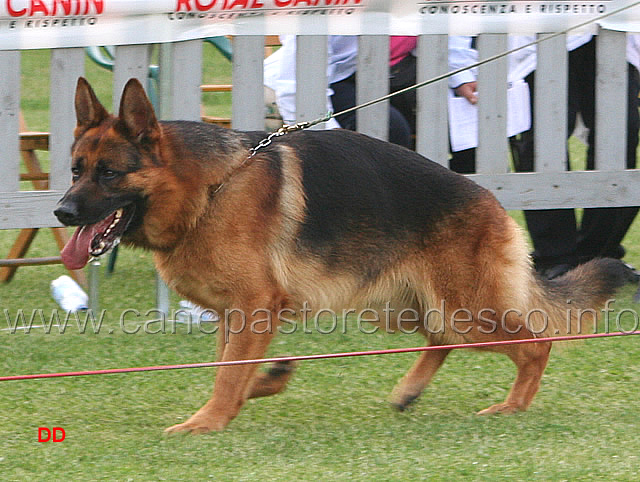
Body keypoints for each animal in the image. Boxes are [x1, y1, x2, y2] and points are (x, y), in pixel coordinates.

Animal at [56, 78, 636, 434]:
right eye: (76, 170)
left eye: (109, 173)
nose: (62, 212)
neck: (210, 187)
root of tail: (491, 202)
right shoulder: (235, 314)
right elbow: (231, 369)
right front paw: (256, 389)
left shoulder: (254, 306)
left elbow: (228, 373)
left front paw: (207, 422)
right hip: (409, 307)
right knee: (442, 339)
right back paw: (409, 392)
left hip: (465, 309)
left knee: (537, 344)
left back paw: (512, 406)